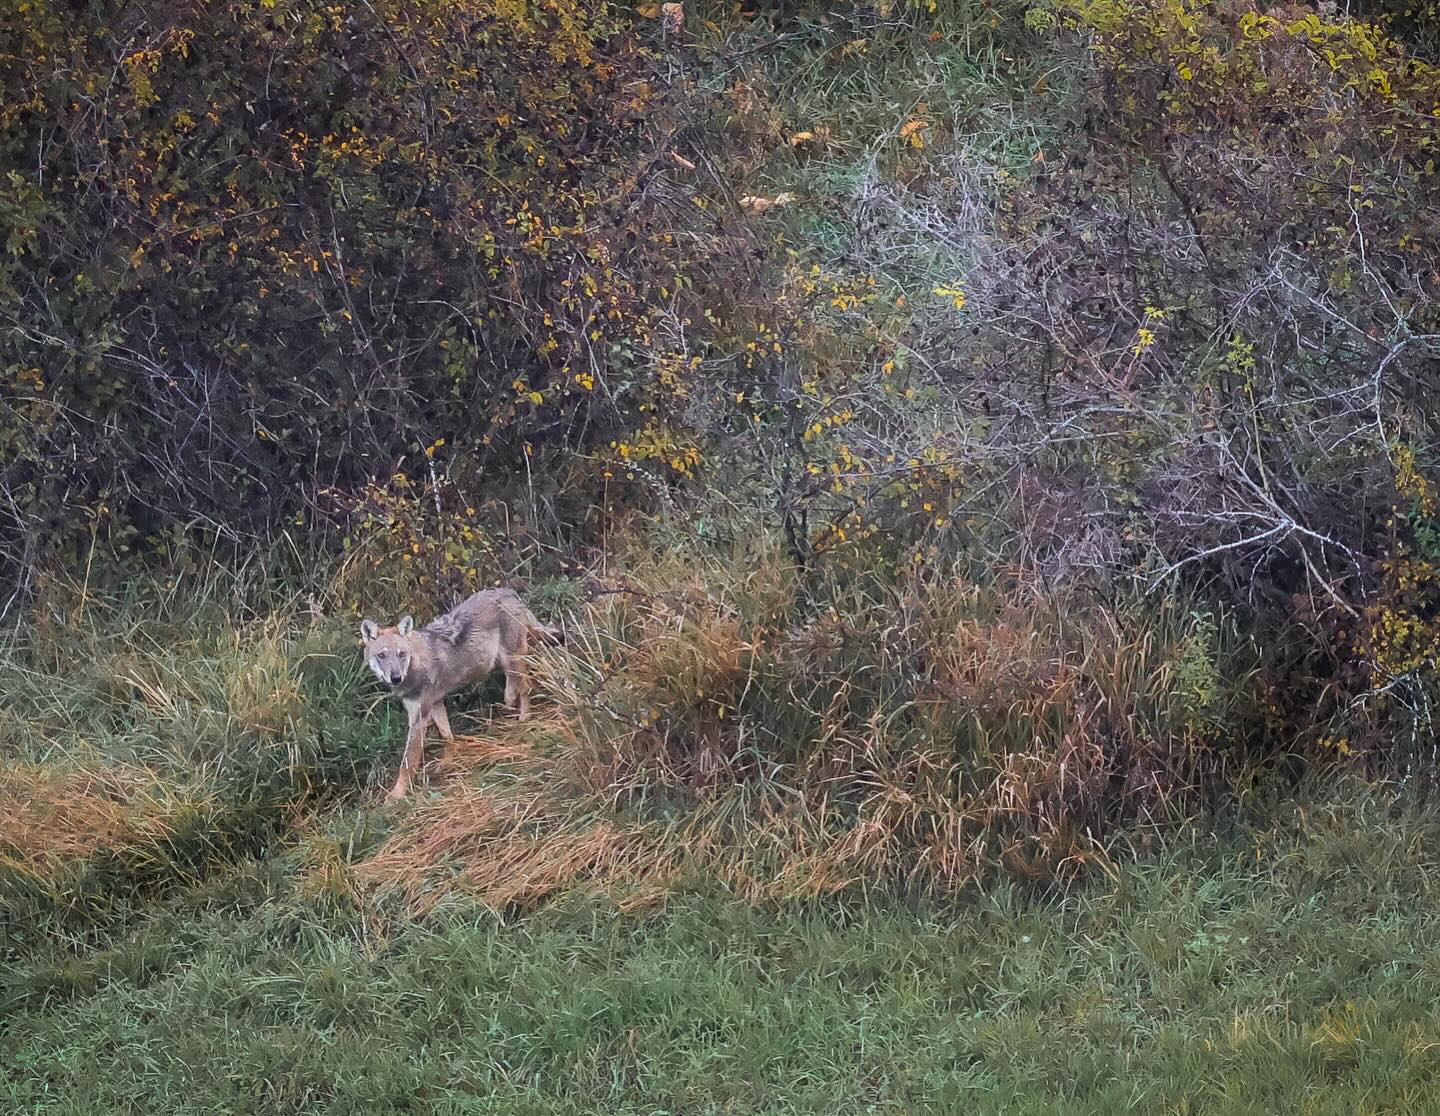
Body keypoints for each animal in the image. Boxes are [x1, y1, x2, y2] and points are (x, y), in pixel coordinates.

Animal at [360, 588, 562, 799]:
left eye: (401, 654)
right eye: (382, 656)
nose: (396, 677)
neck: (415, 665)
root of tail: (508, 591)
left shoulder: (419, 718)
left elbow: (407, 764)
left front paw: (395, 796)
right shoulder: (435, 704)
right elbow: (447, 736)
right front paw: (447, 762)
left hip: (513, 662)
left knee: (526, 688)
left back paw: (524, 720)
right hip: (505, 663)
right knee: (514, 687)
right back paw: (510, 700)